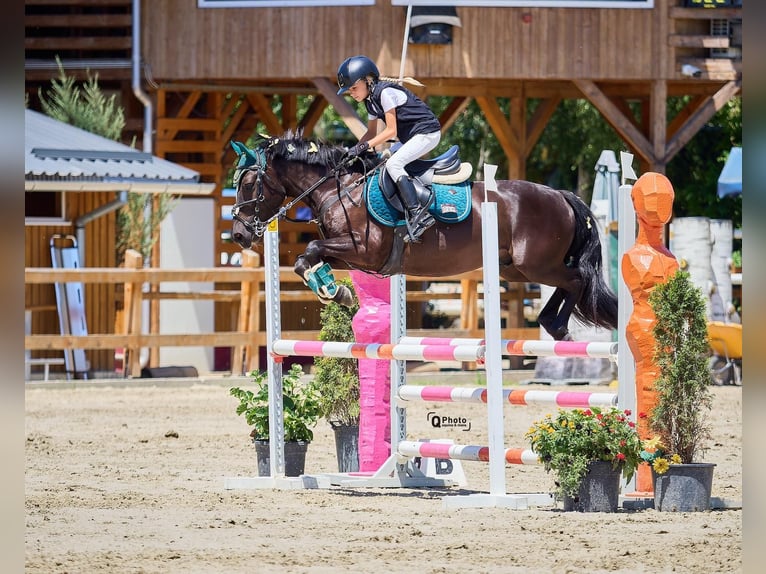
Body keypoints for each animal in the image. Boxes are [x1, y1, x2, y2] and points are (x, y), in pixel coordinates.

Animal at [228, 134, 616, 342]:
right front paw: (334, 290)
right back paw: (552, 323)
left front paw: (333, 291)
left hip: (536, 264)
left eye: (247, 184)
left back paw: (559, 327)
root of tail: (561, 195)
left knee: (576, 279)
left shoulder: (365, 249)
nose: (238, 234)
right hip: (515, 269)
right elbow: (307, 259)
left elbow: (309, 249)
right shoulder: (352, 255)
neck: (339, 189)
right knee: (569, 283)